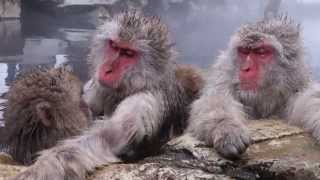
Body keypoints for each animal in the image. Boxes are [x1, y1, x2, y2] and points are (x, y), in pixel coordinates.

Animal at [11, 10, 202, 179]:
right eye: (114, 46)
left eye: (128, 54)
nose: (108, 69)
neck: (133, 86)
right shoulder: (98, 86)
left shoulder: (144, 102)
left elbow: (105, 140)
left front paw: (44, 166)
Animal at [186, 15, 320, 159]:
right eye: (245, 51)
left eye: (261, 52)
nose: (246, 68)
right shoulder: (224, 77)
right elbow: (215, 99)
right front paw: (226, 128)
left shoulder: (296, 88)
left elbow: (310, 99)